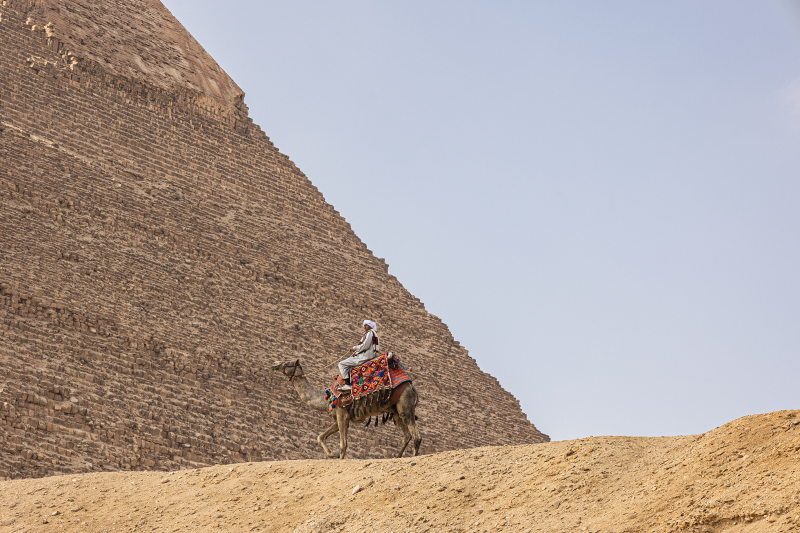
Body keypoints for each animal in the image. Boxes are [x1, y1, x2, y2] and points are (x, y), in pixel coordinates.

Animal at [272, 360, 422, 460]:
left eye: (287, 362)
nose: (274, 364)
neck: (327, 397)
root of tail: (412, 387)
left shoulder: (342, 415)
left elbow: (343, 444)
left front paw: (338, 457)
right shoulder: (340, 417)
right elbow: (321, 436)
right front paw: (332, 454)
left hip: (405, 405)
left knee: (416, 436)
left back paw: (414, 458)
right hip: (396, 412)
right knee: (406, 435)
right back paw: (397, 457)